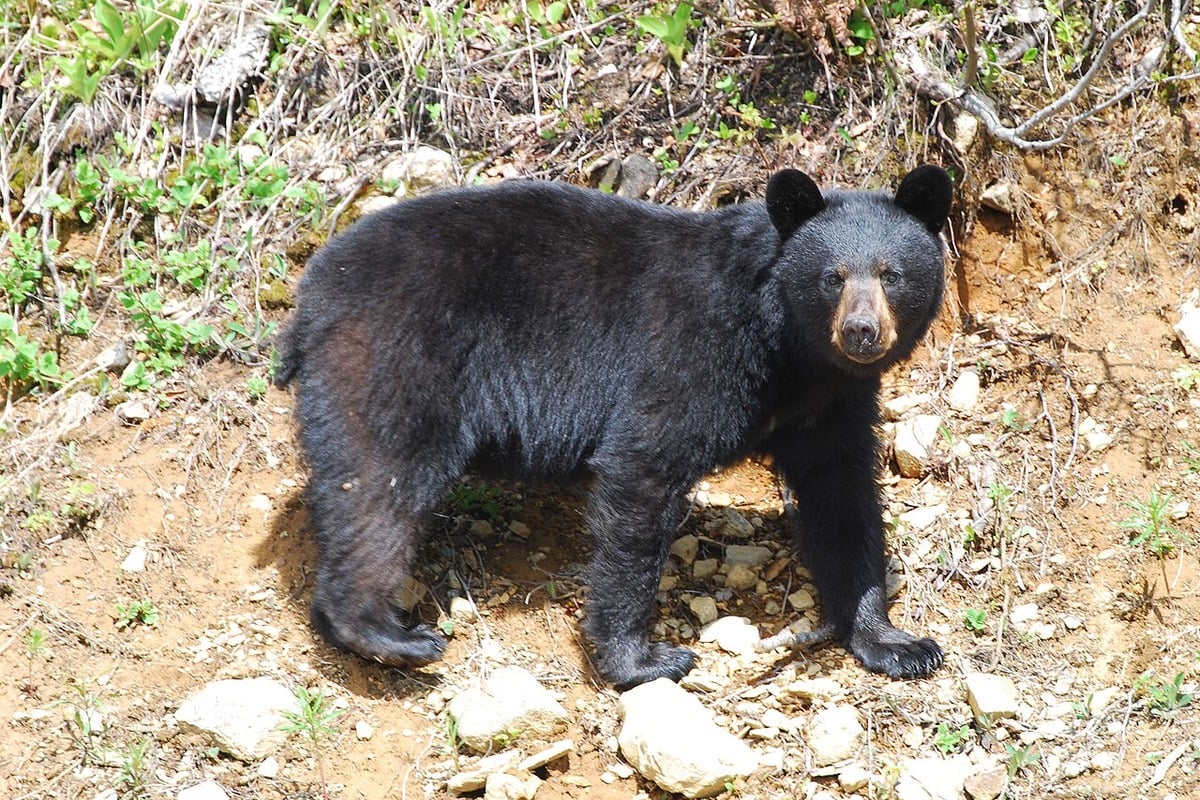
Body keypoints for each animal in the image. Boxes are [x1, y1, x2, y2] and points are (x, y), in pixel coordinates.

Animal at [273, 164, 953, 689]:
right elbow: (644, 468)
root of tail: (310, 298)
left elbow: (842, 497)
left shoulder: (831, 404)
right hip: (397, 354)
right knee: (381, 482)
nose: (861, 332)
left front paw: (895, 642)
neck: (790, 352)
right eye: (831, 277)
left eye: (891, 273)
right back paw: (387, 632)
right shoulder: (695, 352)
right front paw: (643, 660)